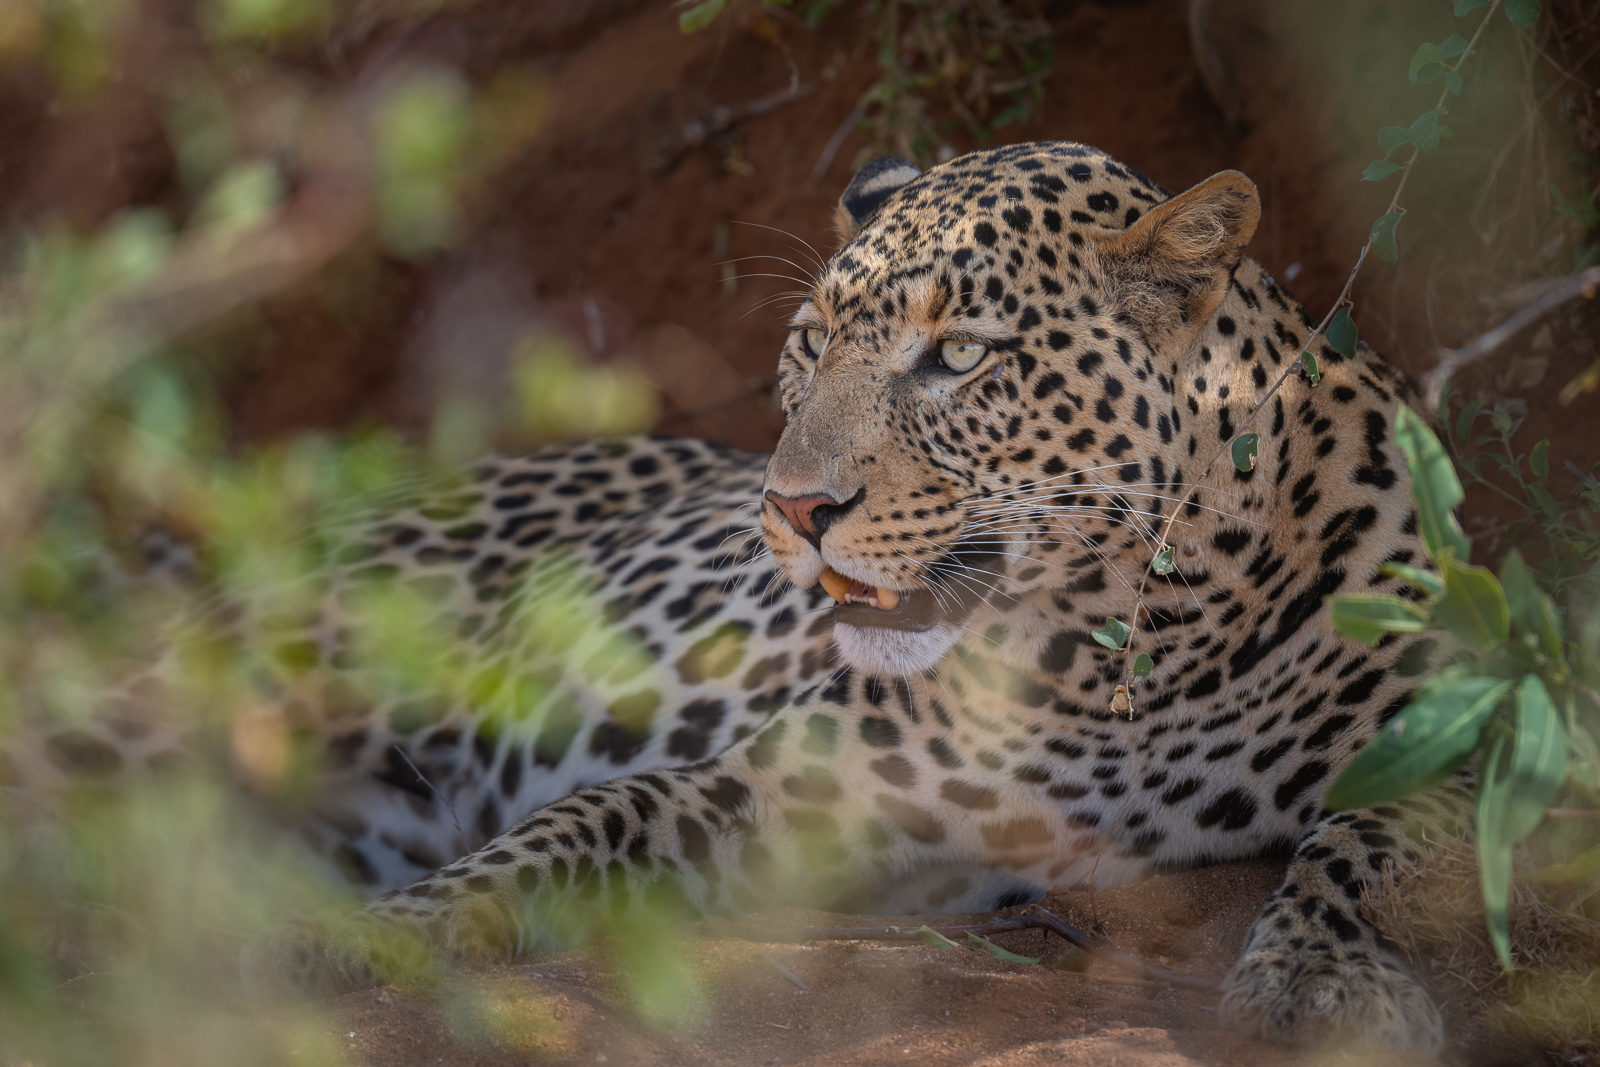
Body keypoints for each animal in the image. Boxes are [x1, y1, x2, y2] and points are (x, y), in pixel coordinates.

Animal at [12, 142, 1463, 1055]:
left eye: (960, 356)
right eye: (812, 340)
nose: (792, 507)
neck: (1118, 652)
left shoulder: (1469, 733)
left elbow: (1363, 843)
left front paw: (1319, 976)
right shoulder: (780, 788)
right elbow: (580, 819)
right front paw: (376, 936)